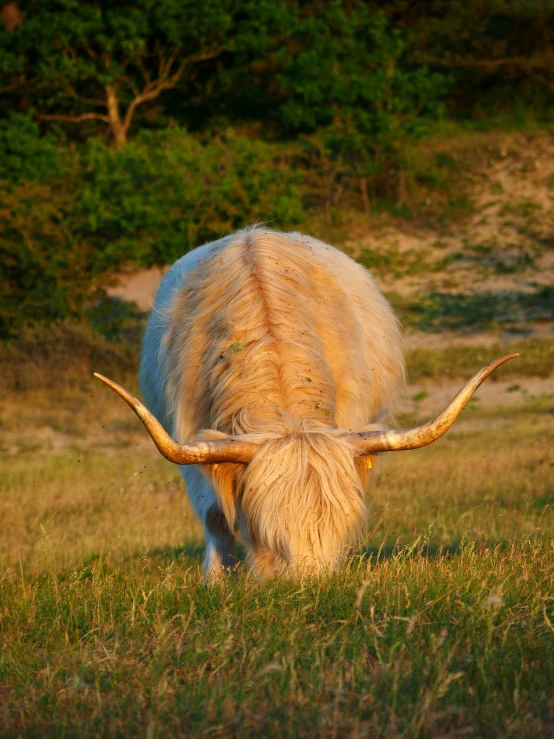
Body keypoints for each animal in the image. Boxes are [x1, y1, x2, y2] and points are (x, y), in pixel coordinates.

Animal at [94, 225, 512, 580]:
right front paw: (218, 583)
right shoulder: (190, 436)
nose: (308, 585)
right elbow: (215, 516)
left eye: (342, 528)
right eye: (265, 532)